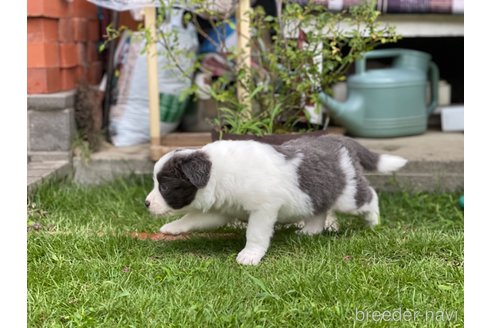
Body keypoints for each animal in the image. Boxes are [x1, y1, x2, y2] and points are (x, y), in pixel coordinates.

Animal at [145, 135, 408, 266]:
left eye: (164, 186)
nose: (146, 204)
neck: (216, 172)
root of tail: (338, 138)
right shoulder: (220, 209)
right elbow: (193, 218)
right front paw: (171, 228)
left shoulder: (263, 209)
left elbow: (255, 234)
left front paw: (249, 256)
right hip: (316, 193)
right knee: (319, 211)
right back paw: (310, 232)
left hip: (347, 195)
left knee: (369, 196)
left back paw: (373, 223)